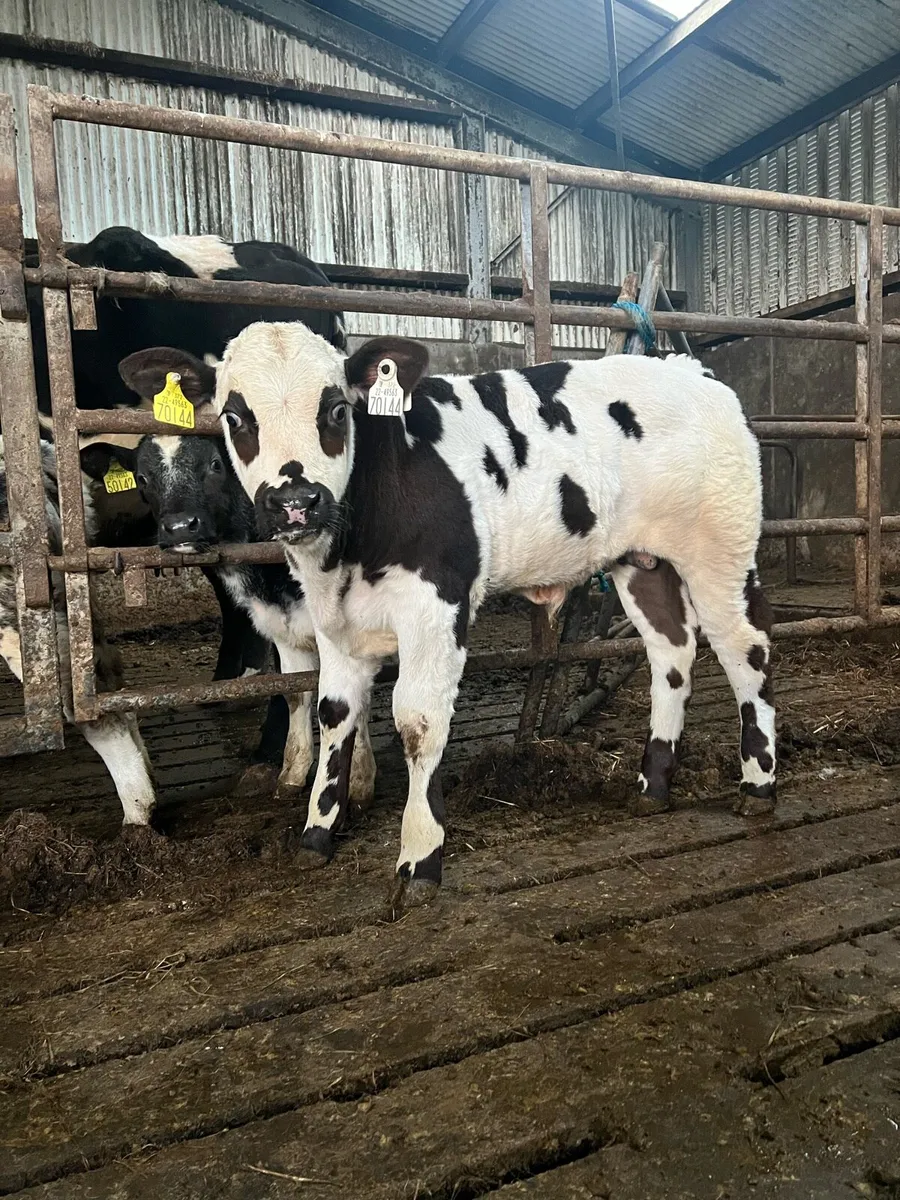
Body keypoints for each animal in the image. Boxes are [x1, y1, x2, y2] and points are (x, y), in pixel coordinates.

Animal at [79, 410, 377, 810]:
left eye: (215, 464)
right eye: (142, 477)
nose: (179, 528)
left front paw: (358, 780)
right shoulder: (280, 625)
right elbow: (294, 690)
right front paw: (291, 770)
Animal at [118, 328, 777, 907]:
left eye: (336, 409)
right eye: (235, 417)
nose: (295, 503)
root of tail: (690, 370)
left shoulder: (436, 605)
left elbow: (419, 721)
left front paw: (420, 858)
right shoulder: (333, 623)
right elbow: (334, 715)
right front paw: (317, 833)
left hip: (722, 550)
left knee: (747, 651)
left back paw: (759, 785)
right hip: (642, 563)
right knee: (672, 654)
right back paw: (653, 785)